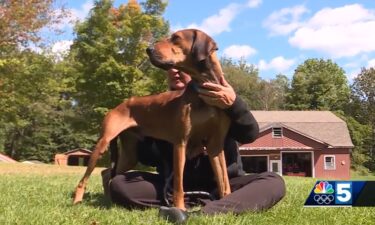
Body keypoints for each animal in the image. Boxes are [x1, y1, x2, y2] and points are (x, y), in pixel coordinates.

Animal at [72, 29, 232, 210]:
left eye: (176, 38)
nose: (148, 49)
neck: (205, 87)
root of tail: (118, 106)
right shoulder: (181, 142)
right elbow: (178, 183)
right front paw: (179, 208)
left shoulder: (215, 145)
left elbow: (224, 180)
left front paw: (226, 202)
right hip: (103, 142)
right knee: (86, 178)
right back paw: (78, 200)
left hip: (130, 154)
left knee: (107, 173)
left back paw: (108, 199)